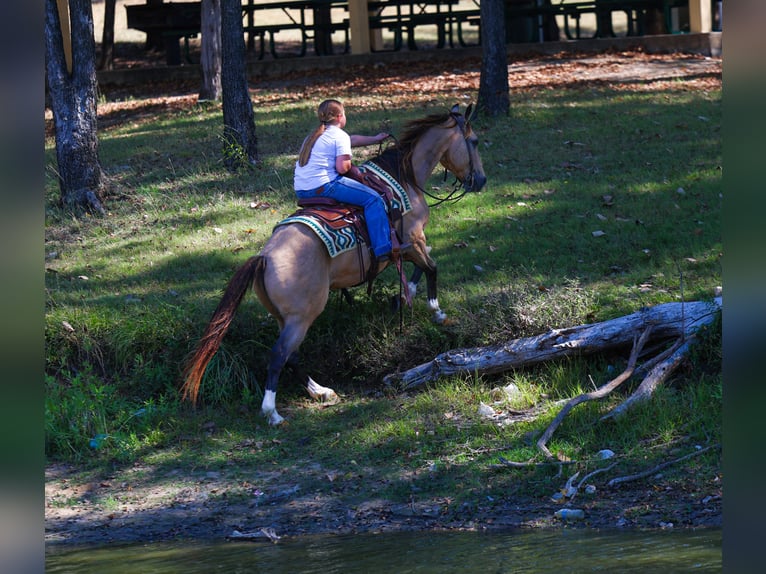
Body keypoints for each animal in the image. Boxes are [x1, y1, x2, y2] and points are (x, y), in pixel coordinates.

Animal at [181, 103, 487, 425]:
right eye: (475, 141)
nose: (480, 180)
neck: (404, 176)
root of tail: (264, 259)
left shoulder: (411, 245)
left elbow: (422, 265)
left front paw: (405, 296)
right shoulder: (413, 237)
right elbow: (431, 265)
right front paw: (435, 310)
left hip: (286, 318)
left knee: (291, 356)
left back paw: (320, 391)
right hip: (302, 317)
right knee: (279, 356)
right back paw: (272, 412)